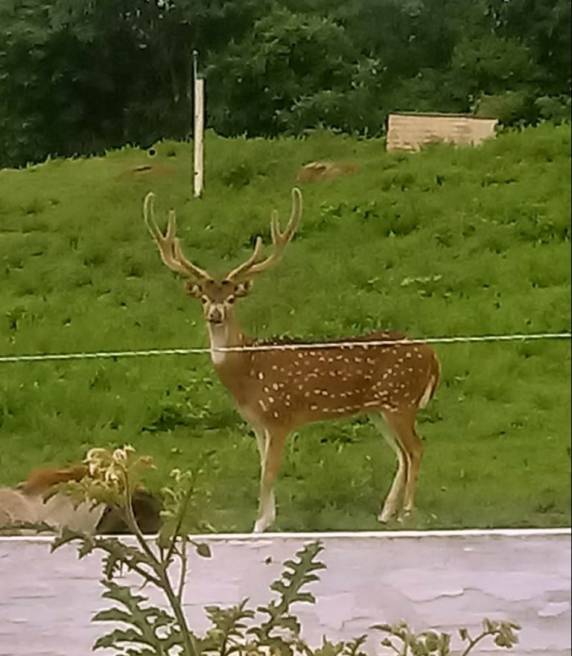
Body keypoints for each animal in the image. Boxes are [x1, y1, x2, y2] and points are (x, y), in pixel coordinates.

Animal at [144, 188, 440, 532]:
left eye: (231, 299)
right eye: (204, 298)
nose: (214, 315)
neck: (247, 372)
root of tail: (433, 355)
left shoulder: (280, 416)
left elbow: (269, 473)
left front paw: (259, 524)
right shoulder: (257, 424)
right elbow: (262, 469)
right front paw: (267, 519)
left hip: (401, 400)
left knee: (416, 449)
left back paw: (406, 512)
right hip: (379, 410)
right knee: (402, 454)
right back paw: (385, 512)